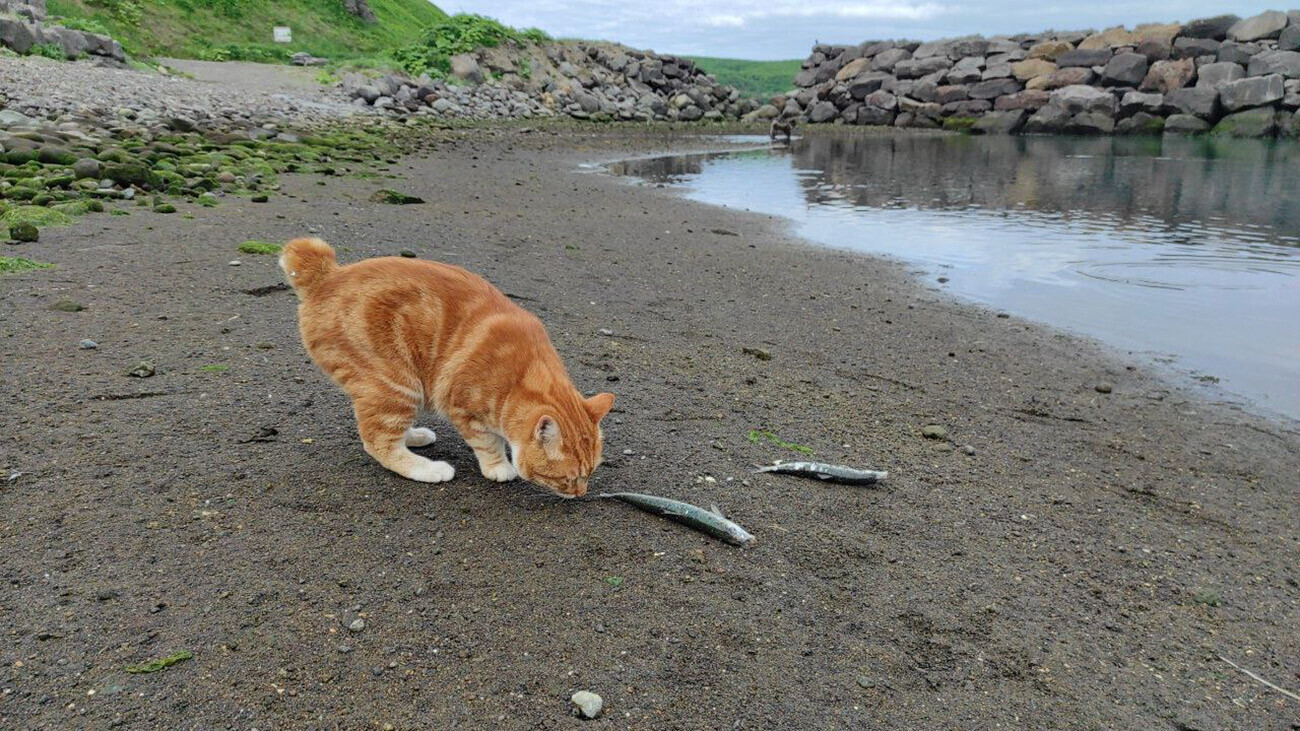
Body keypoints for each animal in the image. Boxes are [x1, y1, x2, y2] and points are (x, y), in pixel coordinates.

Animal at [279, 238, 613, 494]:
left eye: (590, 473)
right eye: (568, 478)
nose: (581, 493)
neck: (520, 377)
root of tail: (325, 276)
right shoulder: (464, 408)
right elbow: (487, 442)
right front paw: (499, 467)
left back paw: (414, 435)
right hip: (397, 384)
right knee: (378, 441)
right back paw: (427, 469)